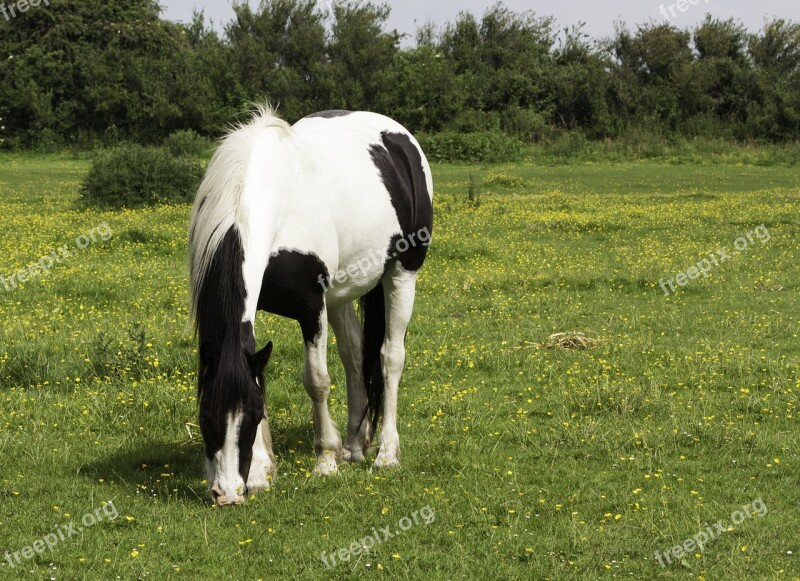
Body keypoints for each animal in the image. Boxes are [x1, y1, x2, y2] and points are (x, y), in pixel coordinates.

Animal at [188, 106, 434, 506]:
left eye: (249, 415)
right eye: (206, 414)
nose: (225, 493)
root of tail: (400, 138)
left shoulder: (310, 307)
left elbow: (317, 381)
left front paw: (325, 460)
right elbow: (257, 370)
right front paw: (260, 471)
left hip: (402, 273)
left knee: (390, 357)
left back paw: (385, 453)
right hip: (341, 294)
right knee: (354, 354)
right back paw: (354, 445)